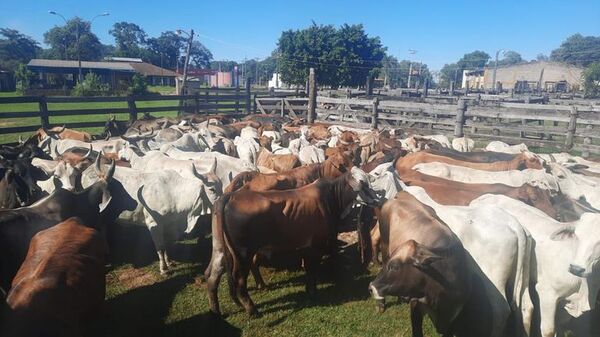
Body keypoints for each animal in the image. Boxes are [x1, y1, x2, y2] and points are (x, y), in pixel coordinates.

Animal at [206, 167, 380, 316]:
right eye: (363, 184)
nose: (378, 200)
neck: (332, 198)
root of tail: (230, 196)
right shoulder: (317, 244)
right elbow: (312, 268)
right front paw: (312, 291)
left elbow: (309, 268)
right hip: (243, 253)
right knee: (239, 280)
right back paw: (252, 310)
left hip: (220, 248)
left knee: (212, 274)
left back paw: (216, 310)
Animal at [368, 192, 472, 336]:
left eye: (394, 267)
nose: (371, 287)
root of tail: (400, 195)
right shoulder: (416, 306)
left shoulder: (451, 320)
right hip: (384, 243)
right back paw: (381, 304)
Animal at [472, 194, 600, 336]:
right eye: (576, 236)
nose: (576, 268)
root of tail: (486, 196)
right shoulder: (547, 293)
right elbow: (549, 330)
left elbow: (561, 326)